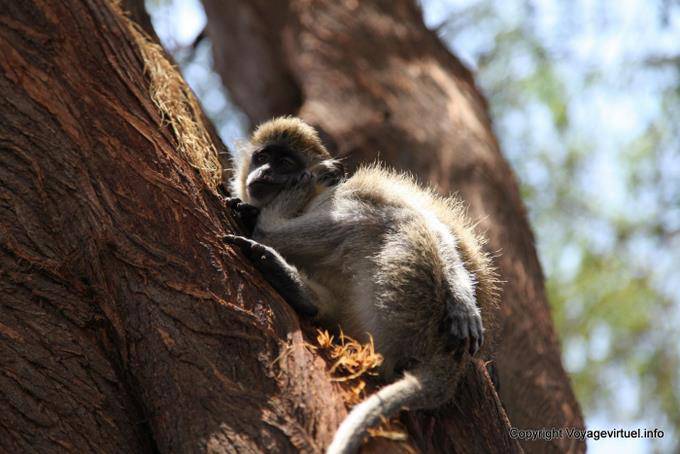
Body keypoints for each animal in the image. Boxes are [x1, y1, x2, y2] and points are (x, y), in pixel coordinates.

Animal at [224, 117, 499, 454]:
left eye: (285, 163)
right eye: (263, 157)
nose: (264, 172)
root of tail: (448, 362)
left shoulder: (338, 195)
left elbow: (433, 227)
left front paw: (463, 305)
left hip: (408, 303)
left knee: (393, 219)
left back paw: (271, 231)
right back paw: (300, 290)